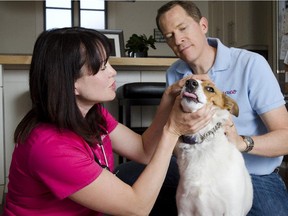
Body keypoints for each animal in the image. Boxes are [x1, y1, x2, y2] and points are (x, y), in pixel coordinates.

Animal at [176, 79, 252, 216]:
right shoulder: (185, 210)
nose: (190, 82)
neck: (202, 145)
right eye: (185, 82)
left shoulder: (232, 210)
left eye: (210, 89)